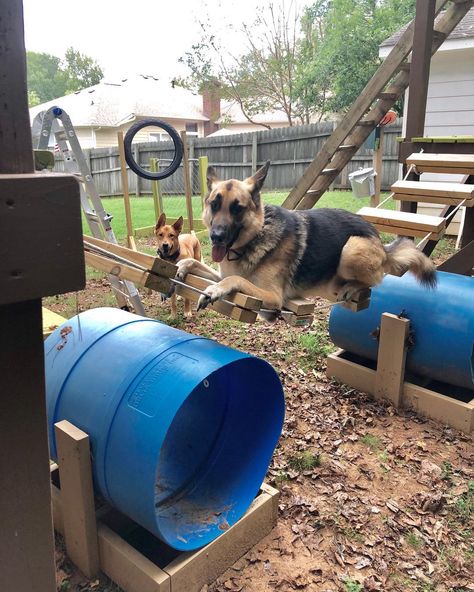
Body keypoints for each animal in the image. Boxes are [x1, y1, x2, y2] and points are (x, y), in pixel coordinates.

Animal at [175, 160, 436, 312]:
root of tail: (382, 245)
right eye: (214, 205)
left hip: (352, 248)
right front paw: (184, 265)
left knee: (377, 278)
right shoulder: (220, 271)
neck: (254, 238)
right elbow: (200, 264)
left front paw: (213, 291)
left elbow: (234, 279)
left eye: (237, 208)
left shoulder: (272, 296)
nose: (216, 236)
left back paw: (352, 286)